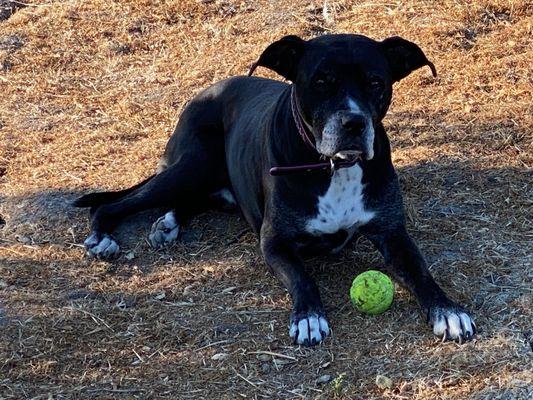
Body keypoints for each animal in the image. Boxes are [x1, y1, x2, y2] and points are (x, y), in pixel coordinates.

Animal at [74, 34, 474, 346]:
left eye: (376, 82)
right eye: (321, 81)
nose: (354, 123)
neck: (335, 166)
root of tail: (206, 90)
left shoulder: (392, 232)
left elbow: (420, 270)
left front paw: (448, 310)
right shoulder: (274, 241)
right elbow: (302, 277)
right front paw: (309, 318)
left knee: (192, 200)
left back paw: (168, 223)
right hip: (192, 166)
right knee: (113, 204)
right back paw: (104, 237)